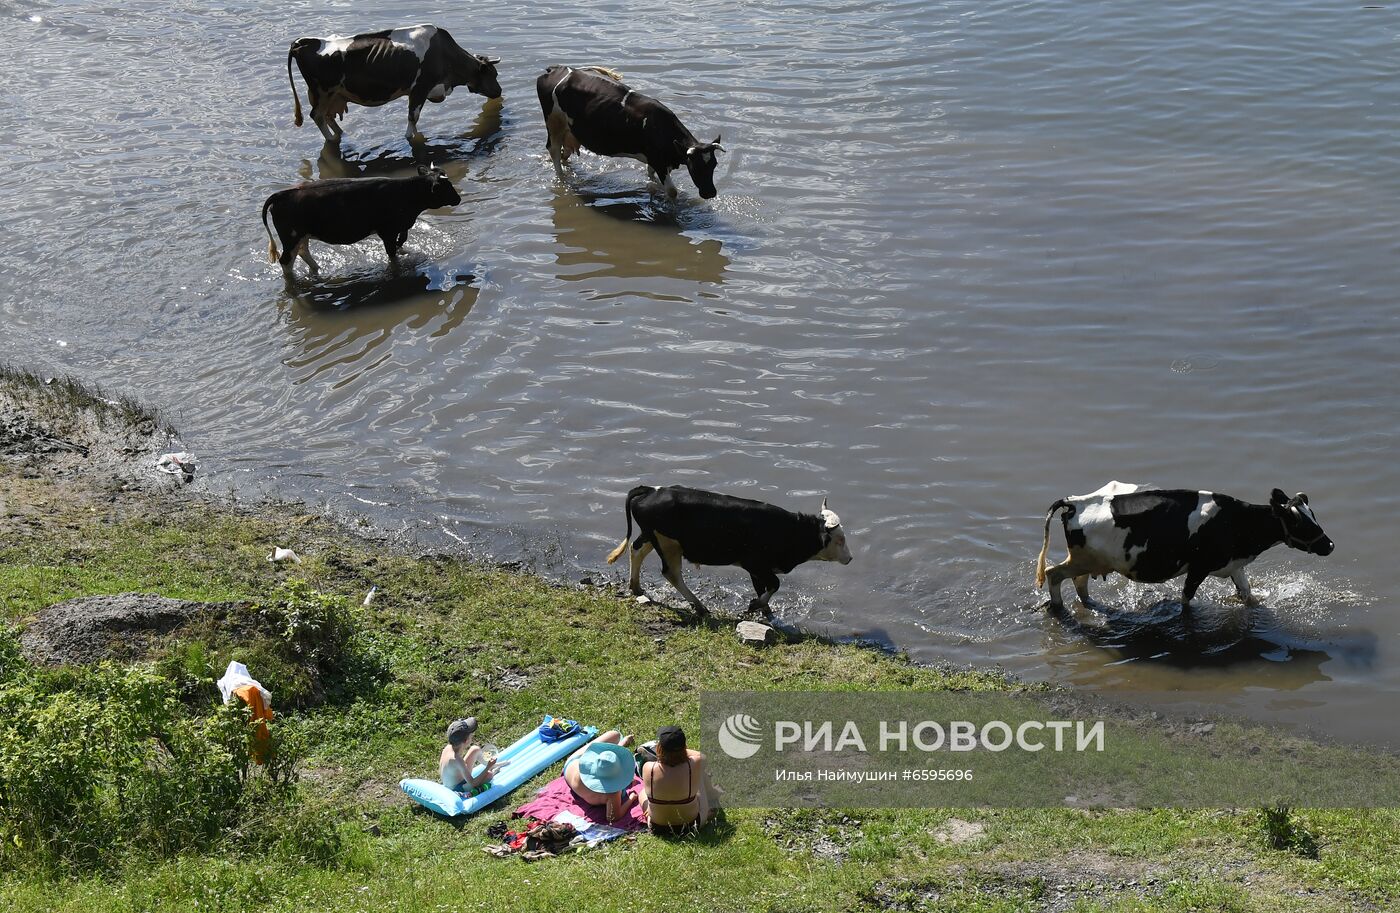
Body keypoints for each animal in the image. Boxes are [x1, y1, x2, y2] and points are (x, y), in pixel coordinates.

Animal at [285, 25, 504, 144]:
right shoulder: (419, 88)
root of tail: (303, 42)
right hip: (323, 91)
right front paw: (410, 137)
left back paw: (341, 136)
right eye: (493, 74)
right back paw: (331, 139)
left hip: (334, 94)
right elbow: (413, 117)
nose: (499, 90)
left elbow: (415, 119)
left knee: (328, 116)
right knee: (317, 115)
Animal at [534, 64, 728, 200]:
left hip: (568, 130)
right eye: (695, 166)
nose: (710, 193)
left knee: (564, 151)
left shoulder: (656, 159)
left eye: (714, 165)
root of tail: (558, 68)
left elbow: (651, 176)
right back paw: (562, 179)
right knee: (553, 150)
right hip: (553, 122)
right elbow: (672, 191)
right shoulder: (659, 161)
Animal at [604, 484, 851, 613]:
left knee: (636, 550)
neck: (790, 530)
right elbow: (774, 584)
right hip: (669, 545)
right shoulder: (755, 563)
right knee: (671, 573)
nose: (849, 558)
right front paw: (756, 606)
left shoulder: (757, 569)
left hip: (653, 536)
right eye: (839, 539)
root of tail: (651, 490)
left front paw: (765, 612)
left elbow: (762, 589)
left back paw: (636, 587)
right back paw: (699, 605)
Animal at [1036, 481, 1338, 610]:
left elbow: (1248, 594)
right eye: (1302, 523)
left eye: (1313, 515)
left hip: (1089, 561)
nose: (1331, 545)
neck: (1237, 522)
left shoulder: (1234, 565)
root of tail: (1076, 501)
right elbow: (1186, 600)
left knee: (1079, 582)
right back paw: (1058, 607)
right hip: (1082, 560)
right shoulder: (1199, 568)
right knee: (1053, 574)